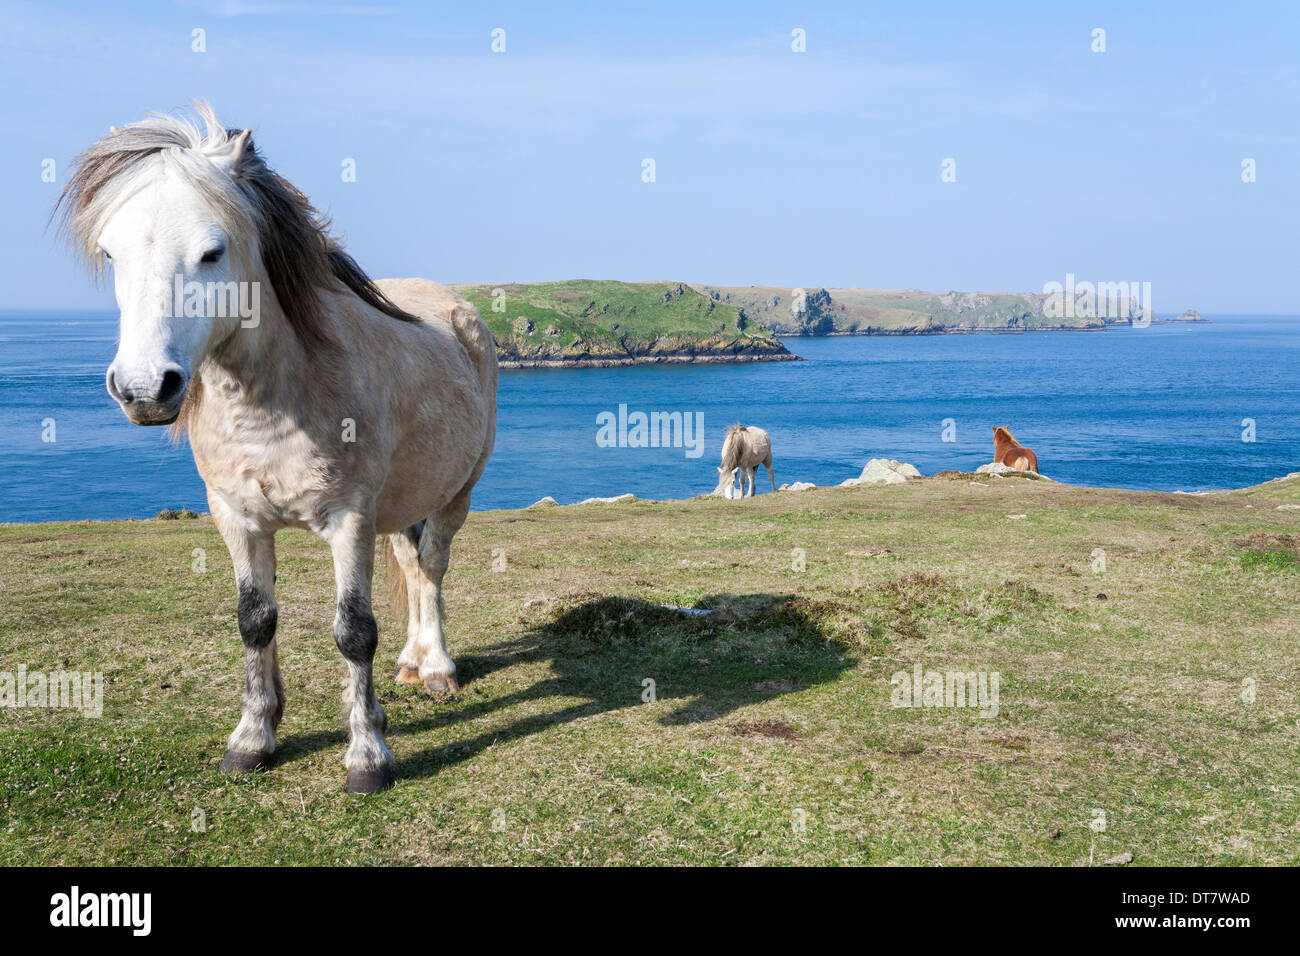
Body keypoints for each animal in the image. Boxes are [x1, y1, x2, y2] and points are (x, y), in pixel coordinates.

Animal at [54, 102, 496, 790]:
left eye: (212, 252)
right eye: (110, 252)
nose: (144, 388)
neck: (277, 397)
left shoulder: (350, 520)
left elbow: (354, 632)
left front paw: (367, 755)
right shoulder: (236, 518)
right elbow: (255, 621)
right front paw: (253, 737)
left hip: (457, 494)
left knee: (433, 567)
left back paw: (438, 668)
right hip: (403, 501)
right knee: (411, 560)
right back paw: (411, 662)